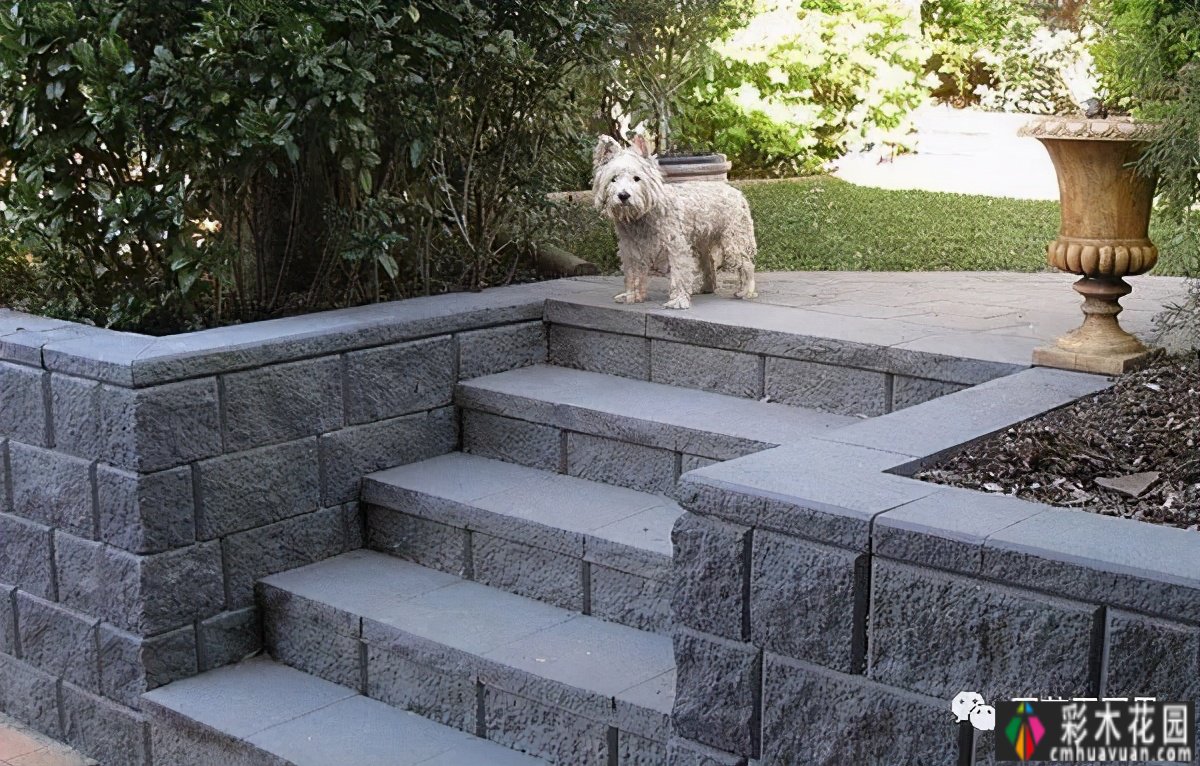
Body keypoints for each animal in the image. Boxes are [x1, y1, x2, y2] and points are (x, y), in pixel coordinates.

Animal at [592, 135, 753, 309]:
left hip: (734, 240)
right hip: (702, 242)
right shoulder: (631, 249)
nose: (623, 195)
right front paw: (632, 296)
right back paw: (705, 288)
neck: (642, 215)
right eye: (613, 179)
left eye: (636, 178)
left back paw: (746, 291)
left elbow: (679, 273)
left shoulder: (676, 246)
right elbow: (634, 274)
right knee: (708, 263)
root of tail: (737, 192)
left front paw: (678, 300)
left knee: (746, 264)